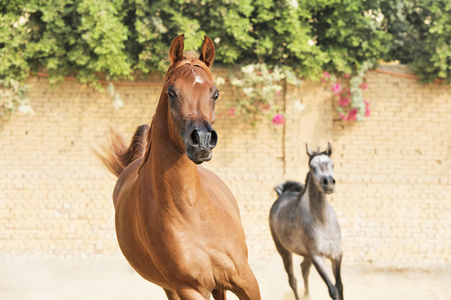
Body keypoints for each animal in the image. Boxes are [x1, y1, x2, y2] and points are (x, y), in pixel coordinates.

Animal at [96, 35, 262, 300]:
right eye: (172, 92)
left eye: (215, 93)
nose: (202, 139)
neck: (192, 213)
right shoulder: (189, 289)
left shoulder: (245, 278)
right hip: (172, 287)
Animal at [270, 143, 344, 300]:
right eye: (312, 166)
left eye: (332, 164)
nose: (328, 183)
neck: (322, 223)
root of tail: (282, 195)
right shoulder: (317, 257)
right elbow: (333, 289)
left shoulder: (337, 255)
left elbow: (340, 287)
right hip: (284, 251)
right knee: (292, 280)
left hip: (306, 254)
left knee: (304, 270)